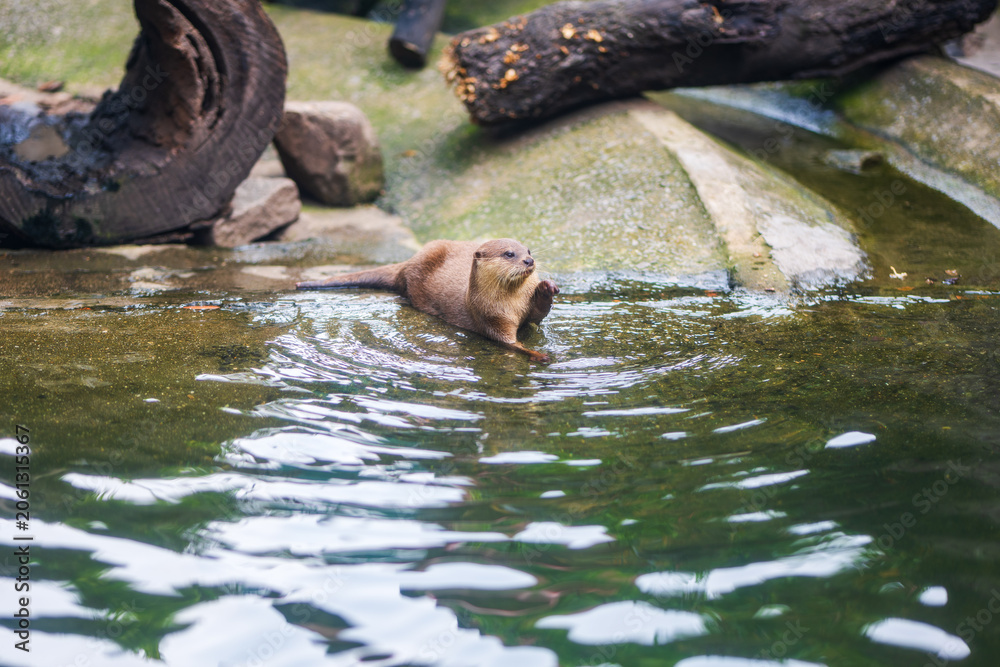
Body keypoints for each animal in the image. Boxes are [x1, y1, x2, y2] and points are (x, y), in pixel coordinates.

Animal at [296, 239, 559, 362]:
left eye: (528, 251)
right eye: (509, 254)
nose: (529, 261)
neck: (514, 304)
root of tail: (408, 262)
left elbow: (537, 316)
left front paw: (546, 288)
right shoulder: (490, 318)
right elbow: (510, 344)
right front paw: (538, 355)